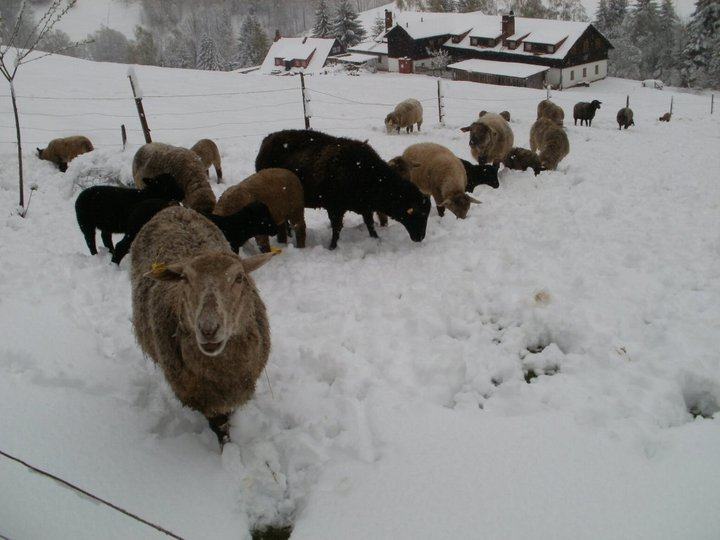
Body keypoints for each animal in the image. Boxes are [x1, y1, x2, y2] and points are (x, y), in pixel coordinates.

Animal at [129, 205, 276, 446]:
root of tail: (172, 208)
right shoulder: (203, 399)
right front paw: (228, 450)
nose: (208, 329)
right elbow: (221, 429)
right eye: (184, 279)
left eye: (239, 278)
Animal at [256, 130, 430, 250]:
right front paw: (332, 247)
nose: (420, 237)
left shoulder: (365, 207)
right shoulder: (335, 207)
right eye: (418, 214)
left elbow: (369, 224)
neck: (369, 175)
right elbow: (337, 228)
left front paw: (375, 239)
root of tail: (266, 140)